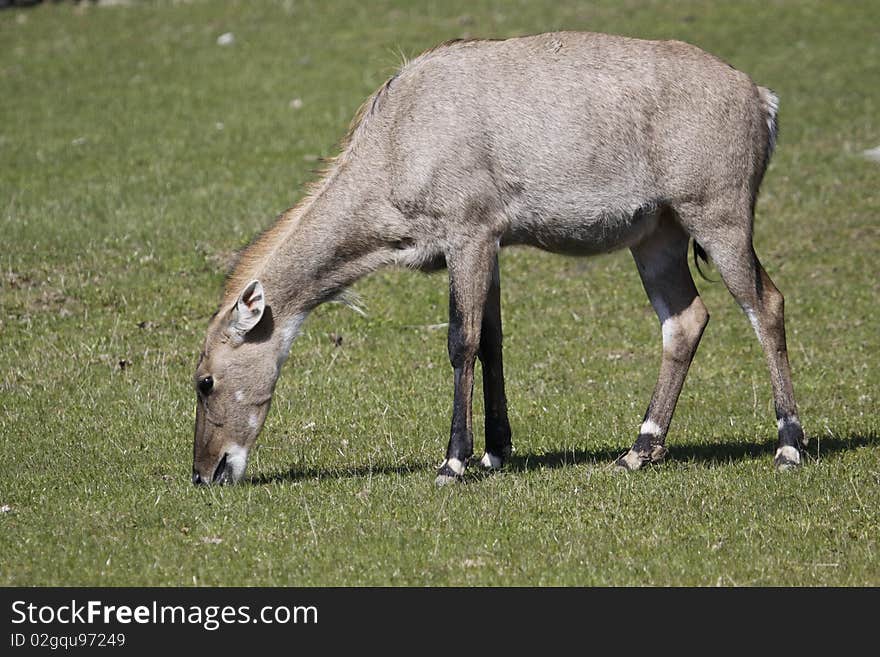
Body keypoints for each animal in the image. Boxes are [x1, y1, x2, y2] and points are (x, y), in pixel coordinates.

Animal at [191, 33, 804, 490]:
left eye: (204, 381)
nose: (205, 473)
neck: (398, 138)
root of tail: (761, 98)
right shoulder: (492, 245)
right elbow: (492, 340)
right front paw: (495, 452)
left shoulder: (469, 233)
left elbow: (460, 342)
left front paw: (453, 462)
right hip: (657, 235)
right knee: (684, 320)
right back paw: (640, 449)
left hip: (718, 216)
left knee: (767, 304)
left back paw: (789, 446)